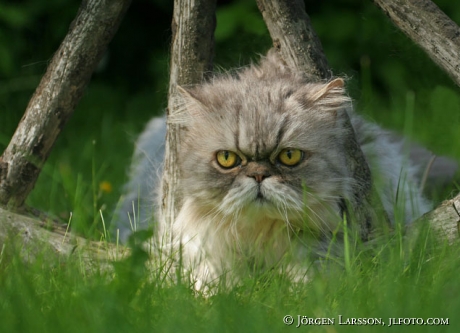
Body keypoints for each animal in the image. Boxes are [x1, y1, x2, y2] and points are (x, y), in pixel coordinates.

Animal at [113, 50, 452, 286]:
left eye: (289, 156)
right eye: (227, 159)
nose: (259, 175)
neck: (260, 236)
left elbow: (311, 273)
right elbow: (209, 282)